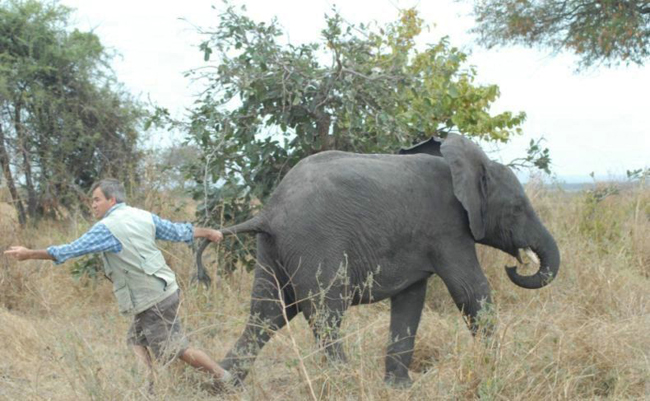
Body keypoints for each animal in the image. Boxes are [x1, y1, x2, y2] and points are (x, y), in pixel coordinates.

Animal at [197, 133, 556, 386]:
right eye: (517, 209)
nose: (516, 264)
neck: (469, 165)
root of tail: (268, 212)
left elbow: (411, 301)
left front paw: (400, 387)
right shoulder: (448, 230)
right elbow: (471, 290)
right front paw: (497, 365)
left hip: (273, 249)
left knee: (268, 312)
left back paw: (222, 385)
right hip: (314, 242)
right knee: (324, 312)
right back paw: (343, 383)